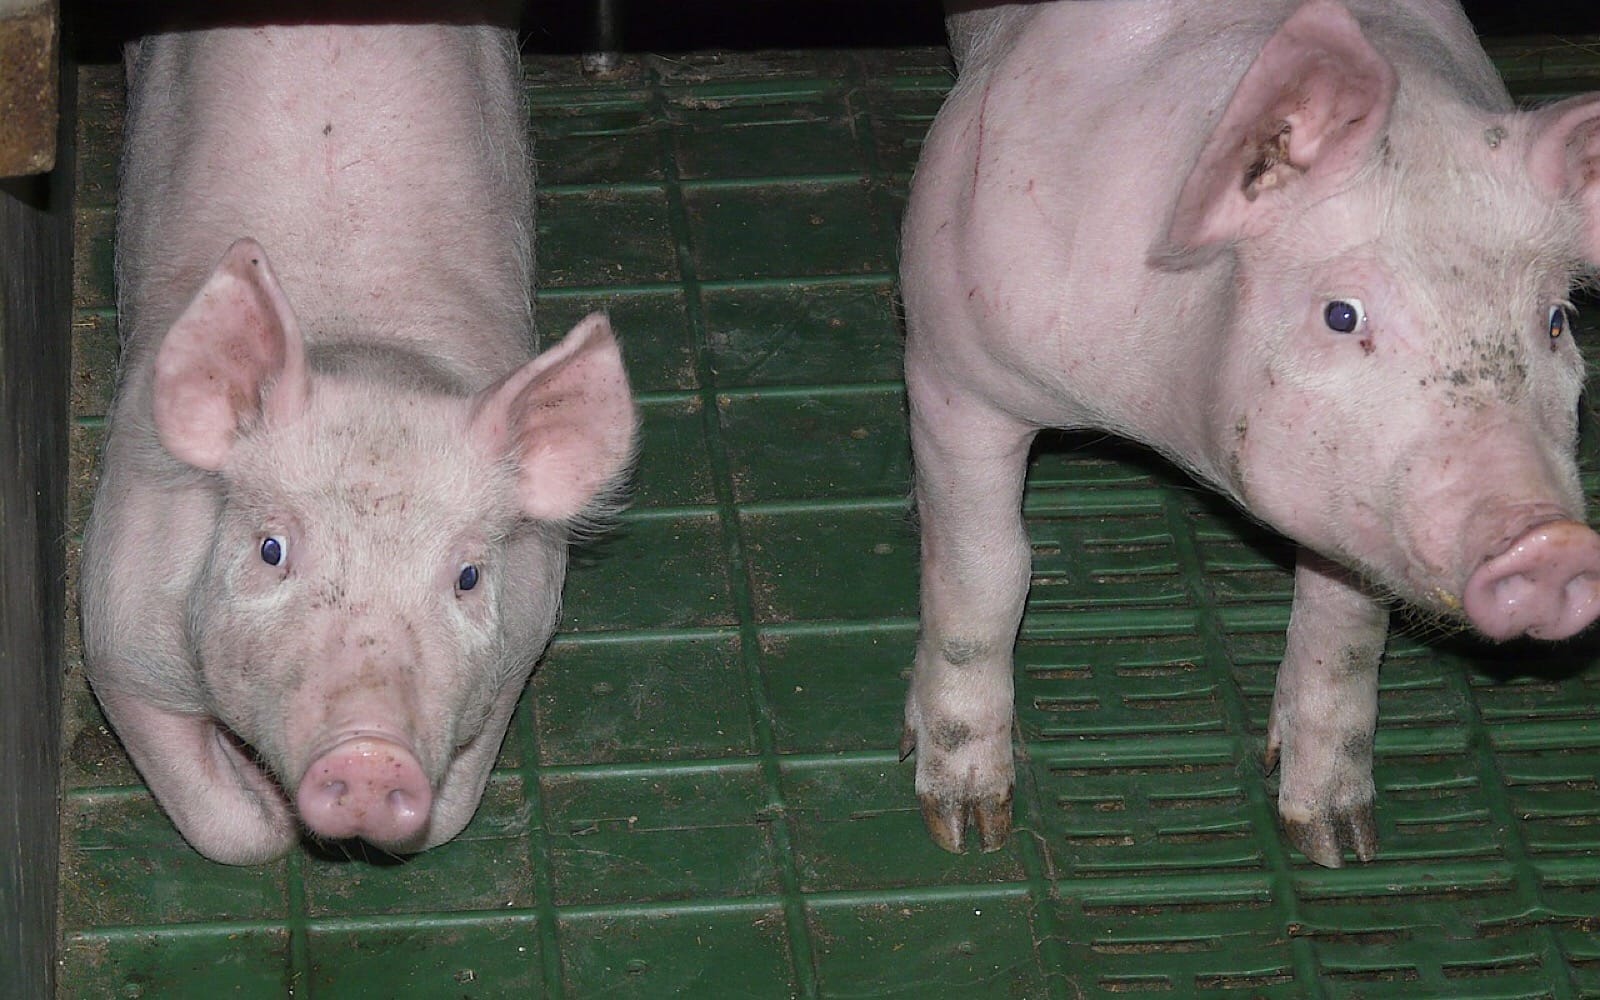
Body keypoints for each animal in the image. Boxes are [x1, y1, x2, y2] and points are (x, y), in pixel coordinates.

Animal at [78, 9, 638, 865]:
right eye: (271, 549)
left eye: (467, 575)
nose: (372, 756)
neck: (368, 352)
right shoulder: (117, 627)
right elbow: (220, 826)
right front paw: (273, 819)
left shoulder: (525, 633)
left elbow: (454, 811)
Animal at [900, 0, 1600, 866]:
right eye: (1342, 315)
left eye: (1556, 322)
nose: (1550, 543)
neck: (1163, 412)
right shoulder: (951, 363)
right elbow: (986, 575)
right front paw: (965, 826)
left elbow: (1348, 629)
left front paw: (1337, 842)